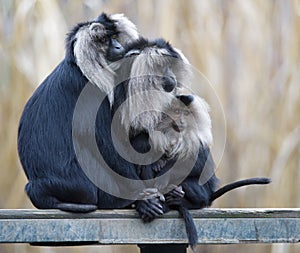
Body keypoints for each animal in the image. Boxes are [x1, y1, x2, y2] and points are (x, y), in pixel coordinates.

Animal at [17, 12, 141, 212]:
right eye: (104, 40)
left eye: (115, 36)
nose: (118, 46)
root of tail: (39, 189)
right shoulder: (92, 92)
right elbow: (107, 144)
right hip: (85, 186)